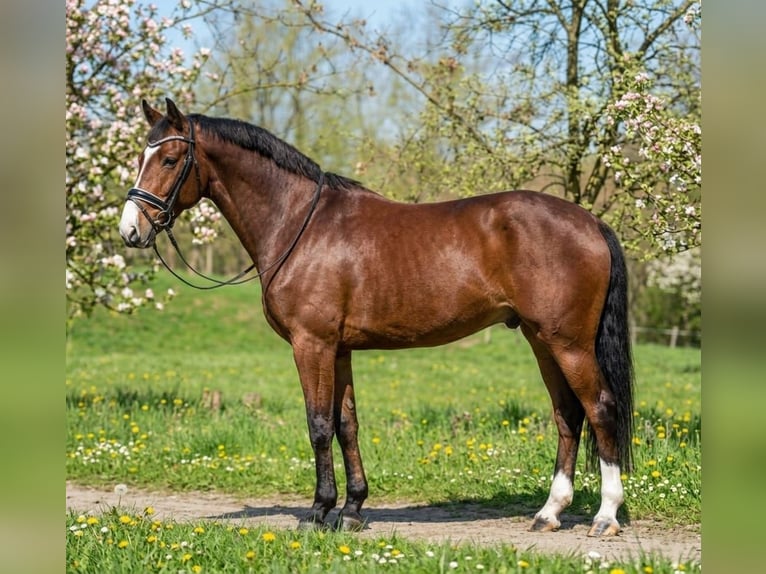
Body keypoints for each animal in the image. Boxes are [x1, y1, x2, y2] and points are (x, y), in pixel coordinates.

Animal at [119, 98, 634, 537]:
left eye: (169, 160)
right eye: (142, 155)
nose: (131, 230)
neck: (301, 224)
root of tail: (590, 222)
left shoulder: (312, 344)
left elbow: (318, 426)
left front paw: (318, 513)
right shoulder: (340, 349)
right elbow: (346, 426)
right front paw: (351, 511)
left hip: (568, 343)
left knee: (600, 409)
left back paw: (605, 516)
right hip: (540, 339)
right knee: (568, 415)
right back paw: (549, 512)